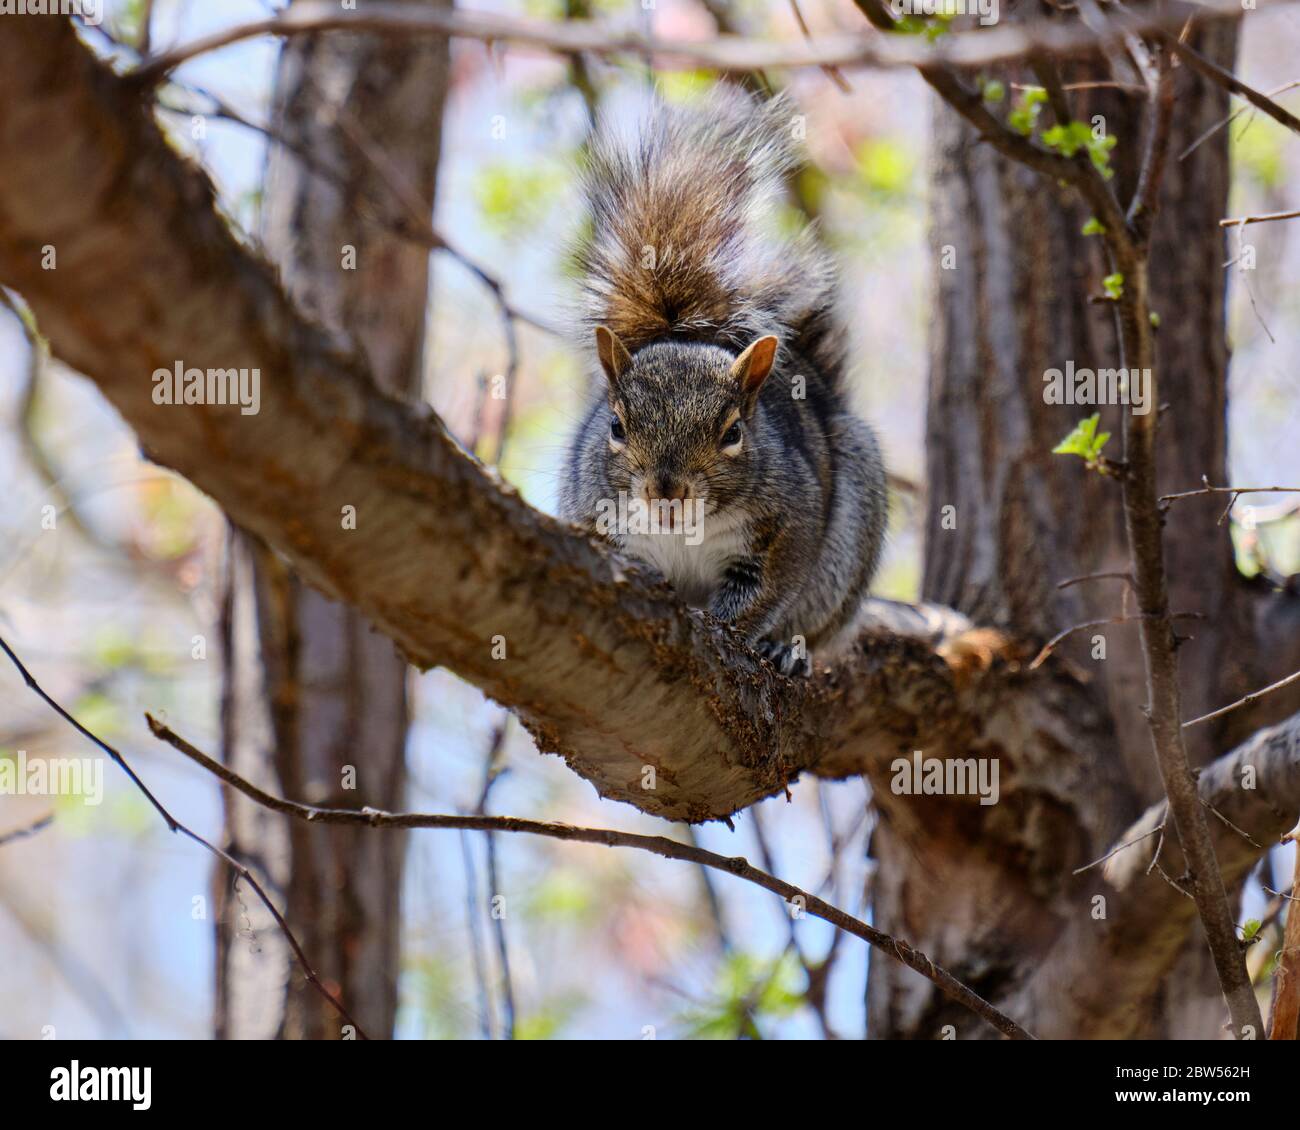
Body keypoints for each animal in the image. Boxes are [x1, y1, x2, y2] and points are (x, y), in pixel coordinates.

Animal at [553, 92, 889, 676]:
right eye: (615, 426)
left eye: (733, 433)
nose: (666, 491)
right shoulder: (593, 516)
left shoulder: (788, 526)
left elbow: (760, 597)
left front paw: (743, 636)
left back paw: (788, 650)